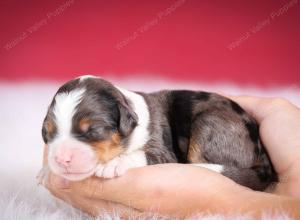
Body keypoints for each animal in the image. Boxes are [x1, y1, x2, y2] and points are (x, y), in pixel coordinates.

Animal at [41, 75, 276, 191]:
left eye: (92, 130)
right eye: (48, 133)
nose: (60, 159)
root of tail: (261, 152)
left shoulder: (163, 150)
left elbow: (143, 154)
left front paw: (113, 164)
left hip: (209, 124)